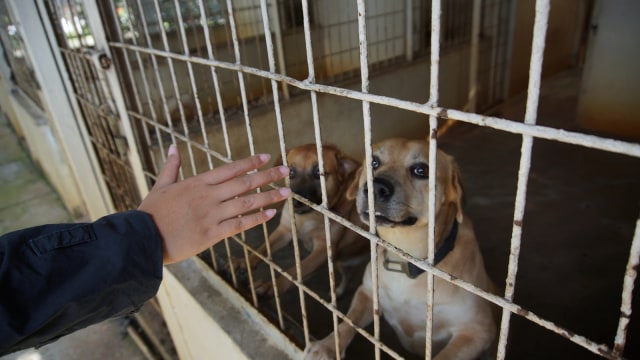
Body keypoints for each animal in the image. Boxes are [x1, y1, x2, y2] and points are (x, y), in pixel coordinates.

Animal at [232, 145, 368, 296]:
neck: (307, 217)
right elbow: (263, 247)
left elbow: (295, 272)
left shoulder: (322, 251)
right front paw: (247, 261)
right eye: (290, 171)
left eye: (318, 173)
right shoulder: (284, 231)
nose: (296, 202)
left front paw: (272, 286)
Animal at [304, 139, 496, 360]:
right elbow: (348, 321)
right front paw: (327, 346)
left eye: (421, 170)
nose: (375, 187)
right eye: (374, 162)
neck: (405, 258)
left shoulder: (477, 331)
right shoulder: (367, 293)